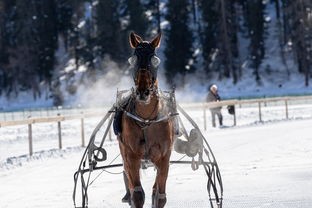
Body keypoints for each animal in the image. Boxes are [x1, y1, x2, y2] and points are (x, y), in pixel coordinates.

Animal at [117, 31, 176, 207]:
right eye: (133, 60)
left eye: (155, 60)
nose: (143, 91)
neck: (146, 121)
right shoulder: (131, 157)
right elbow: (137, 194)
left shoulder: (164, 157)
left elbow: (160, 196)